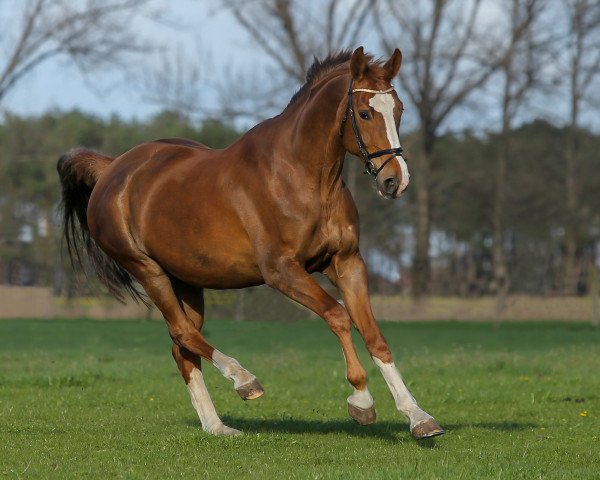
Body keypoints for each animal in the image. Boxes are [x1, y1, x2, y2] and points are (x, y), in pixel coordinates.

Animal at [58, 47, 446, 438]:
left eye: (399, 110)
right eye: (365, 113)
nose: (396, 181)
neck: (303, 178)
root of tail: (112, 168)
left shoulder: (347, 262)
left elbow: (374, 335)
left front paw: (419, 418)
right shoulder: (282, 271)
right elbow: (337, 315)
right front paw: (362, 403)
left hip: (187, 282)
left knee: (182, 347)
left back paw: (217, 426)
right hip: (148, 270)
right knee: (183, 333)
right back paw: (245, 382)